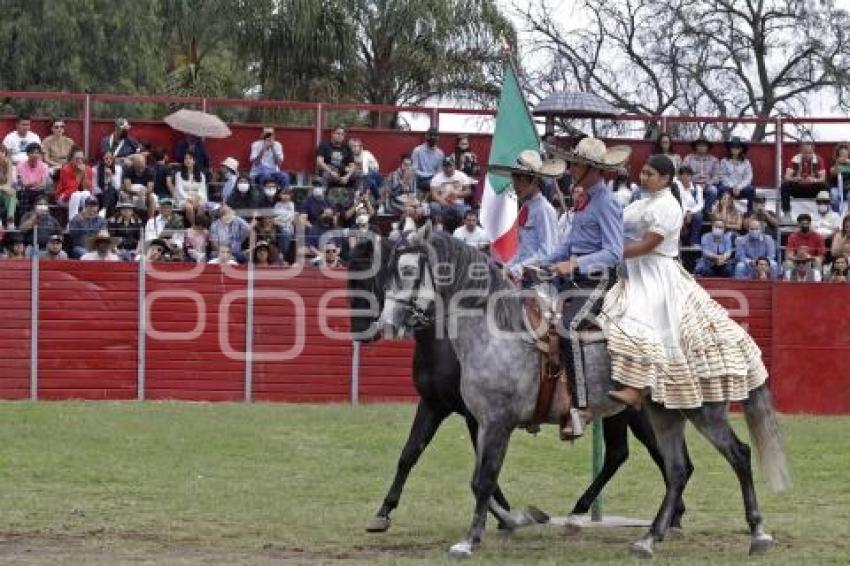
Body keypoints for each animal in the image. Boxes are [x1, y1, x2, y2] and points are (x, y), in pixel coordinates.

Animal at [376, 224, 788, 560]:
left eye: (408, 270)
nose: (386, 324)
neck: (497, 333)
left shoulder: (496, 422)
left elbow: (484, 479)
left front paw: (468, 541)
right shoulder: (475, 418)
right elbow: (474, 478)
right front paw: (511, 521)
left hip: (703, 411)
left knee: (738, 454)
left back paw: (758, 534)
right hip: (664, 414)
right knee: (676, 469)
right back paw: (648, 539)